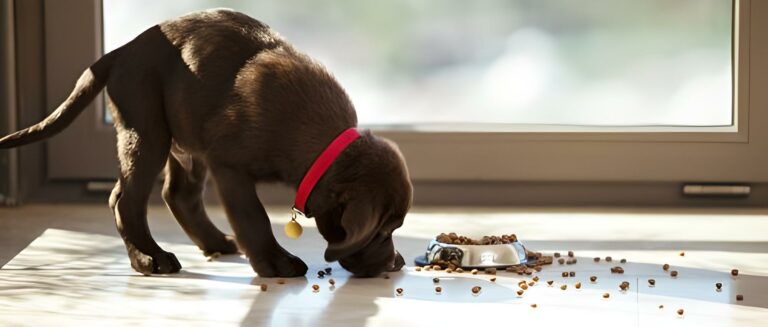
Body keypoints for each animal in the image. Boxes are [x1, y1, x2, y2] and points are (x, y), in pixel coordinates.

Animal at [0, 9, 414, 278]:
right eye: (382, 231)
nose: (397, 263)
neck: (321, 143)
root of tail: (120, 52)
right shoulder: (229, 165)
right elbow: (254, 217)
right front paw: (275, 262)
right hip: (146, 129)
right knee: (125, 199)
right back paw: (149, 260)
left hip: (185, 137)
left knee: (178, 194)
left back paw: (215, 242)